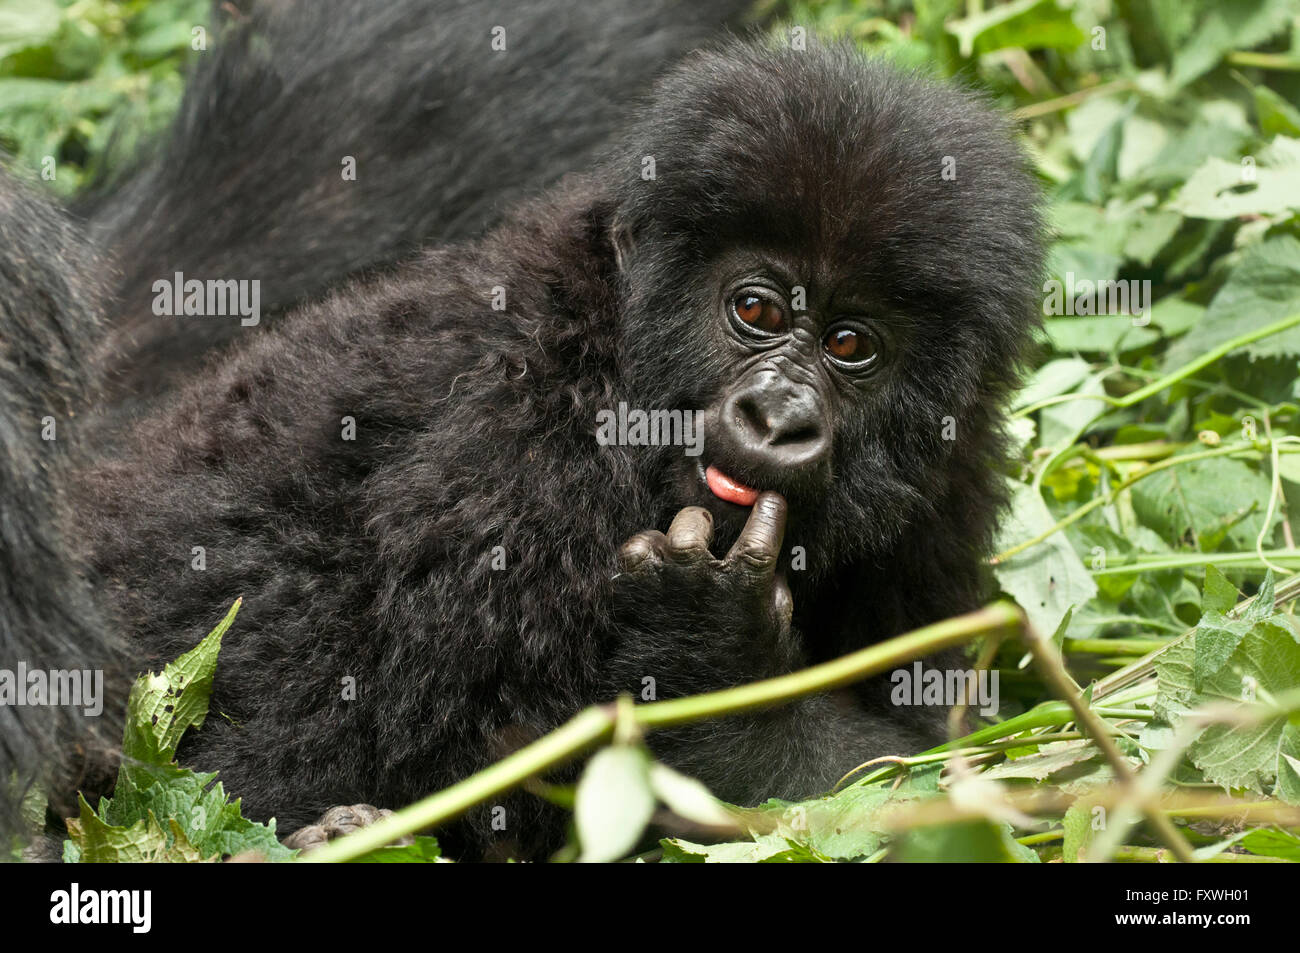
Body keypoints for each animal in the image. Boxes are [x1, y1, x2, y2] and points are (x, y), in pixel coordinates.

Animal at [62, 39, 1043, 860]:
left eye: (849, 344)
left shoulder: (945, 478)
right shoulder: (519, 460)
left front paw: (717, 660)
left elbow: (937, 758)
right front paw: (719, 661)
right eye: (755, 309)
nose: (776, 416)